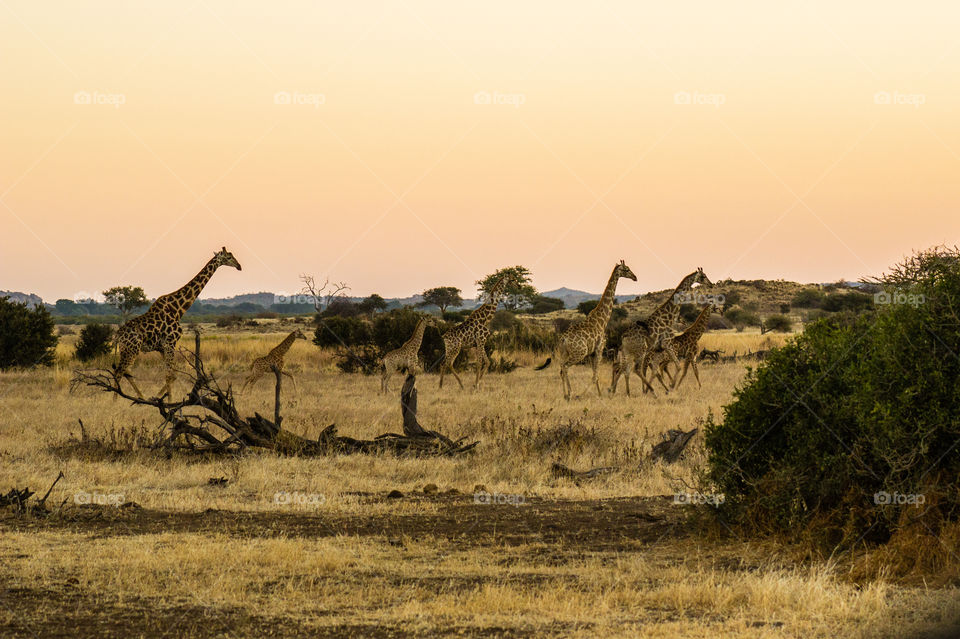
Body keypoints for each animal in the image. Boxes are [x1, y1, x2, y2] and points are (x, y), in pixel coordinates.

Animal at [113, 247, 242, 398]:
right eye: (228, 257)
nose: (239, 266)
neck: (178, 310)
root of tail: (117, 336)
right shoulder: (170, 343)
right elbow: (169, 375)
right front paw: (166, 400)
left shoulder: (163, 347)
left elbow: (172, 375)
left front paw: (157, 397)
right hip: (131, 349)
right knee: (119, 372)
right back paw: (117, 401)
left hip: (127, 350)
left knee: (125, 371)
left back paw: (140, 397)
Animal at [535, 260, 637, 399]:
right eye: (626, 269)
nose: (635, 277)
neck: (602, 320)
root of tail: (563, 339)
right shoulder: (599, 349)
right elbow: (595, 375)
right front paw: (586, 394)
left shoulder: (592, 352)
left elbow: (595, 375)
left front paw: (599, 393)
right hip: (579, 353)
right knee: (565, 367)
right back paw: (571, 393)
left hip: (565, 352)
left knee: (561, 368)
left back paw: (565, 394)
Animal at [610, 267, 712, 396]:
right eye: (703, 276)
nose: (711, 284)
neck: (669, 317)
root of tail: (623, 337)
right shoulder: (667, 344)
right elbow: (677, 367)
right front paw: (671, 386)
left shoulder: (662, 348)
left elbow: (667, 369)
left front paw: (669, 386)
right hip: (640, 351)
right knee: (634, 369)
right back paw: (651, 392)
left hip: (630, 352)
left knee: (625, 368)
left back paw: (620, 391)